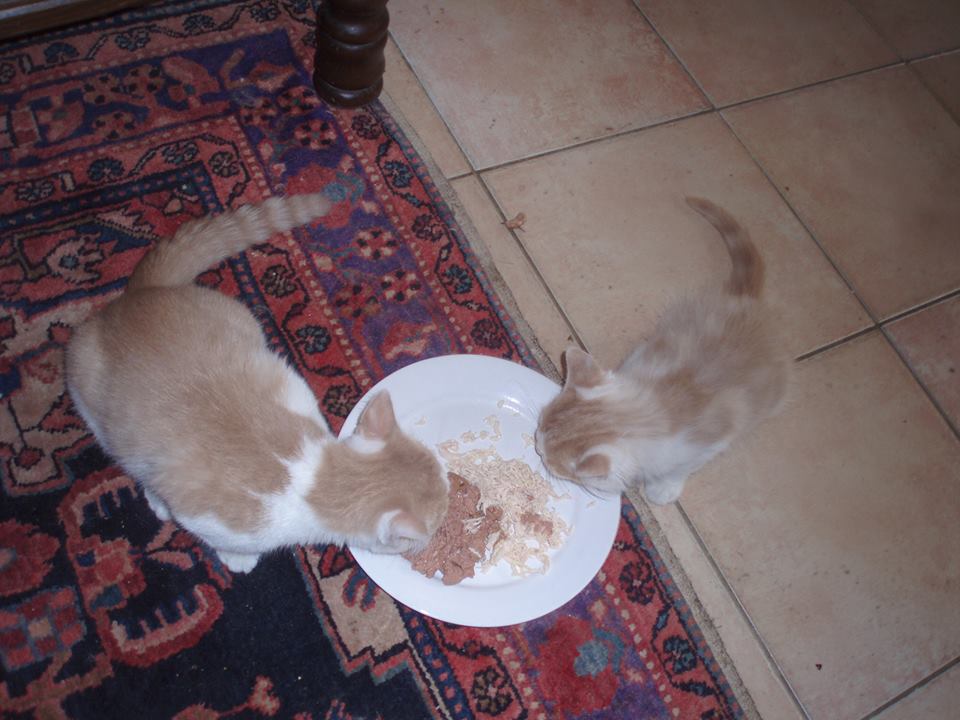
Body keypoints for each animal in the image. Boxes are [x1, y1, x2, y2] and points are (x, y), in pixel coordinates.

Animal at [66, 191, 449, 573]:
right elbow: (219, 538)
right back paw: (154, 496)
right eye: (437, 519)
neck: (314, 480)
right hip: (90, 398)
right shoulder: (207, 517)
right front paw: (237, 559)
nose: (449, 497)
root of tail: (137, 295)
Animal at [535, 197, 788, 505]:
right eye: (538, 425)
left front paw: (664, 487)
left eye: (551, 462)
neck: (651, 414)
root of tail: (746, 302)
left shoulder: (711, 442)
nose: (536, 445)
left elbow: (685, 467)